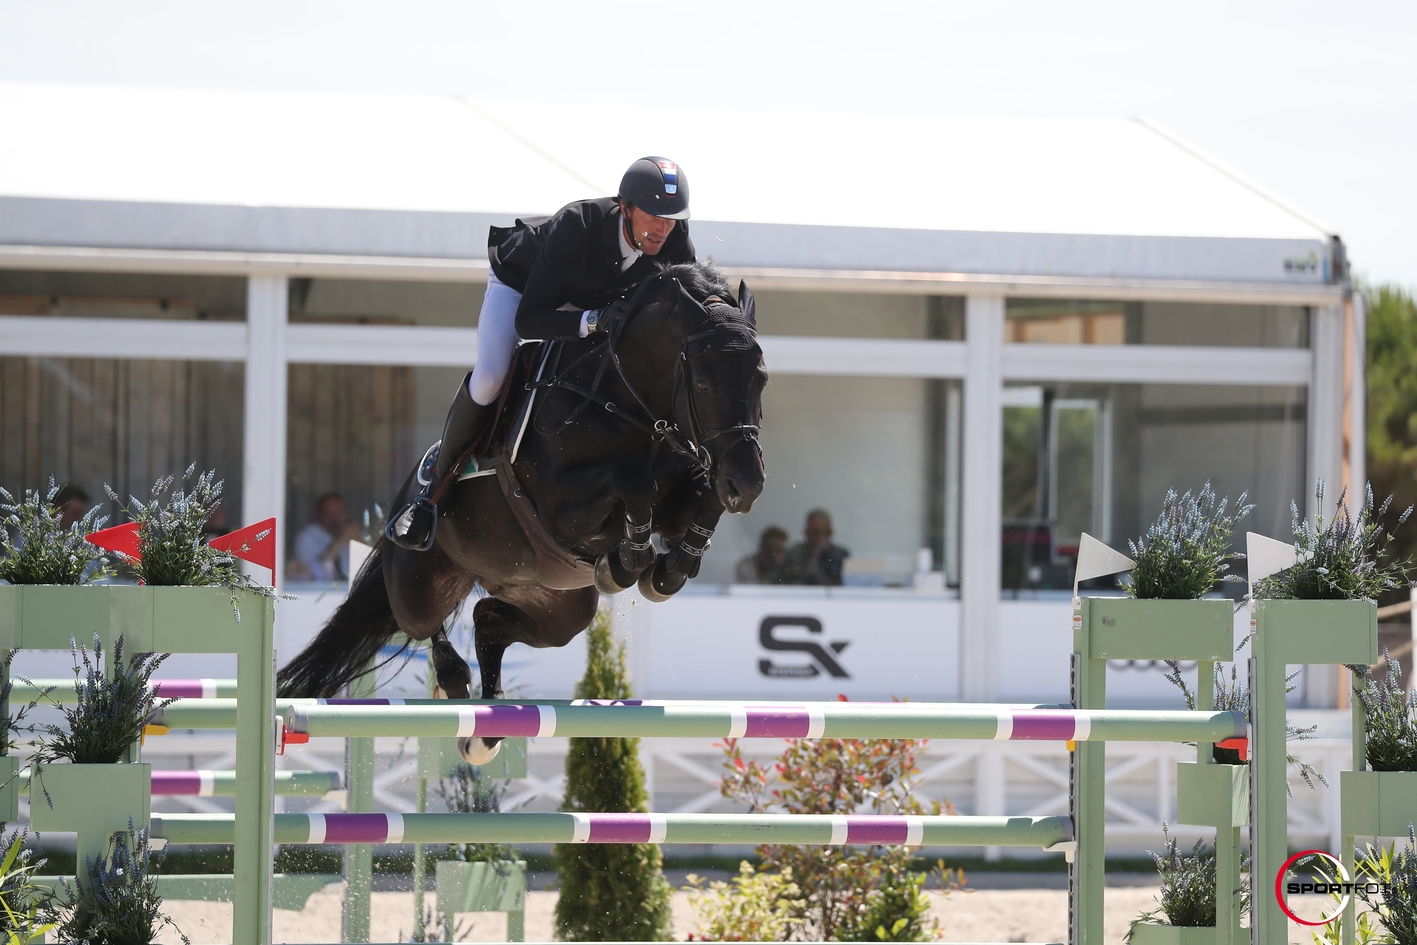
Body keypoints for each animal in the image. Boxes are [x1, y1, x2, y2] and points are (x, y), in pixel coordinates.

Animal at [276, 262, 765, 765]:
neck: (627, 404)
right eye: (703, 383)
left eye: (761, 379)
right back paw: (452, 676)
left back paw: (484, 731)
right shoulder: (561, 509)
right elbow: (634, 482)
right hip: (417, 584)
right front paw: (629, 560)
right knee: (425, 623)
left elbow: (701, 500)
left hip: (558, 607)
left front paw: (668, 568)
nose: (747, 485)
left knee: (488, 619)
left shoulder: (677, 497)